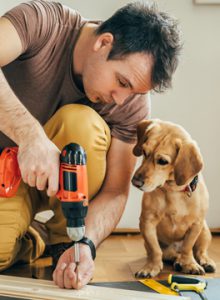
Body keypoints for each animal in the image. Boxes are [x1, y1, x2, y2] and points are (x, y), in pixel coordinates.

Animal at [131, 118, 216, 278]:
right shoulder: (147, 222)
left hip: (204, 230)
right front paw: (151, 267)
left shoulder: (196, 224)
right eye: (144, 152)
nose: (135, 182)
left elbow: (188, 247)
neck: (173, 191)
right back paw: (176, 260)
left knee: (200, 251)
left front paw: (189, 264)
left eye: (162, 161)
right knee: (169, 254)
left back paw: (204, 262)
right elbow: (155, 250)